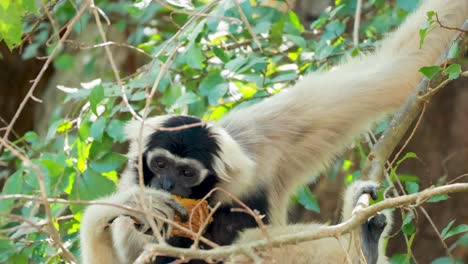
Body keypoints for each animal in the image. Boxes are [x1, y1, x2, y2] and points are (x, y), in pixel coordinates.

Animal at [80, 1, 468, 262]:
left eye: (187, 172)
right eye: (159, 164)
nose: (166, 184)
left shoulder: (269, 134)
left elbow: (395, 69)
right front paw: (137, 204)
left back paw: (362, 243)